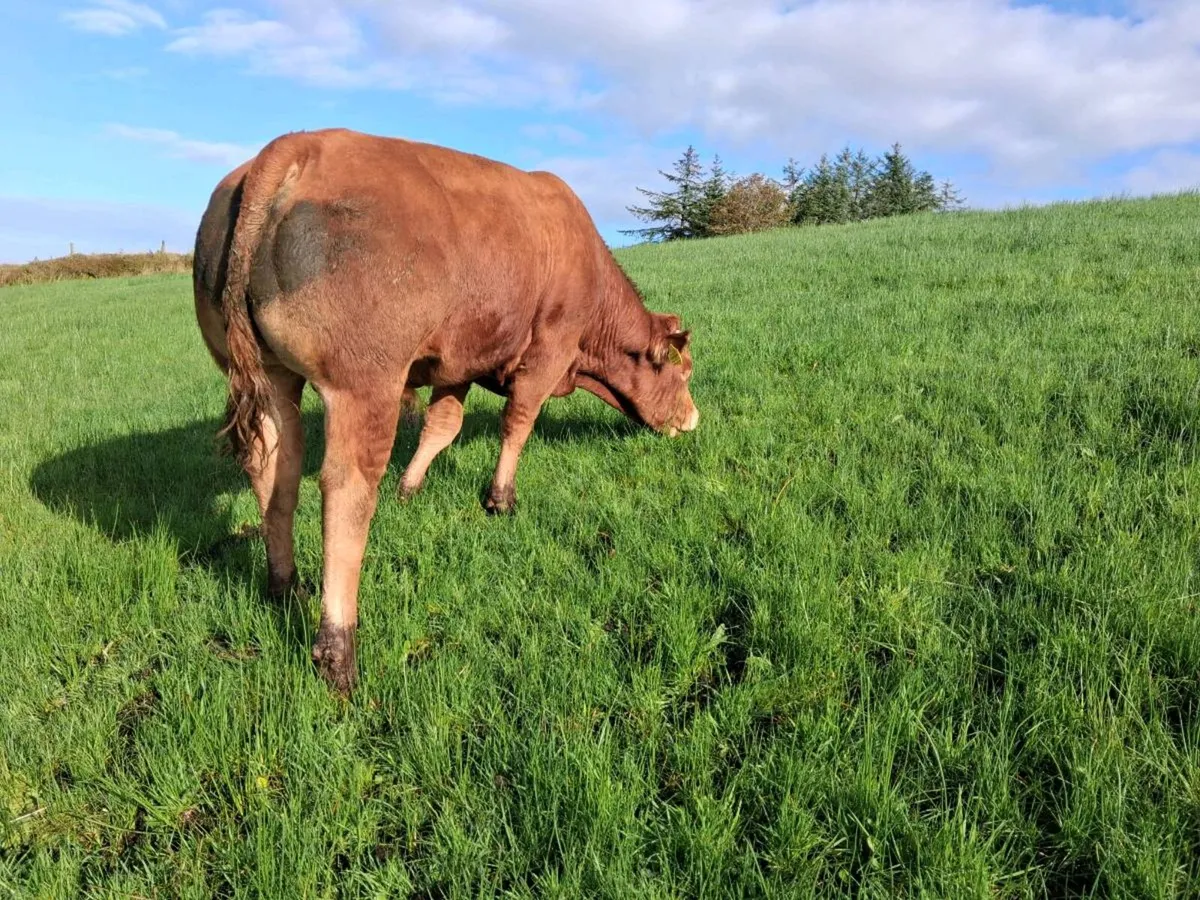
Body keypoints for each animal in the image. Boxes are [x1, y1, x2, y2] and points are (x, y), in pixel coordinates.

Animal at [193, 128, 699, 694]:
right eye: (683, 372)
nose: (693, 419)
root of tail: (295, 145)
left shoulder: (457, 363)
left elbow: (444, 426)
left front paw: (410, 487)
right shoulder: (549, 351)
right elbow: (518, 422)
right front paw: (500, 498)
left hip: (271, 379)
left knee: (274, 471)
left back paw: (285, 586)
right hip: (364, 384)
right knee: (346, 492)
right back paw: (338, 649)